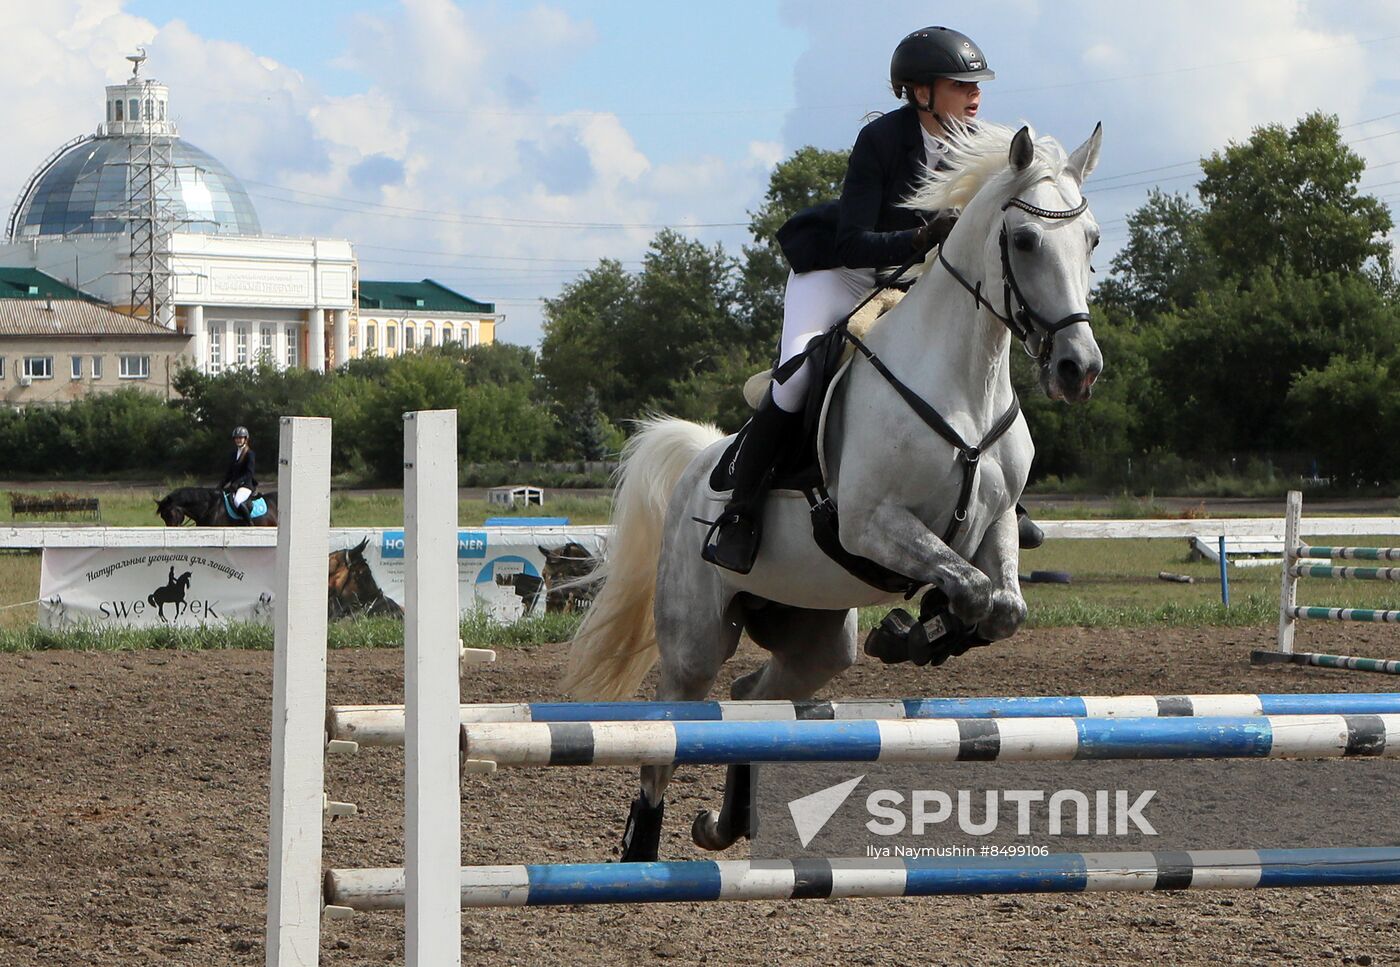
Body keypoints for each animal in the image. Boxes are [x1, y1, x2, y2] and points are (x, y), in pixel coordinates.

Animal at [562, 121, 1105, 862]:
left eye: (1093, 241)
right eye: (1024, 241)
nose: (1080, 369)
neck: (965, 382)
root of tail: (701, 459)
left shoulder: (992, 526)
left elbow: (1002, 606)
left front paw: (920, 631)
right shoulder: (871, 524)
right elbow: (969, 588)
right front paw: (911, 631)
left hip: (814, 637)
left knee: (752, 699)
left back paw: (727, 821)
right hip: (695, 638)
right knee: (668, 732)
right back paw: (643, 849)